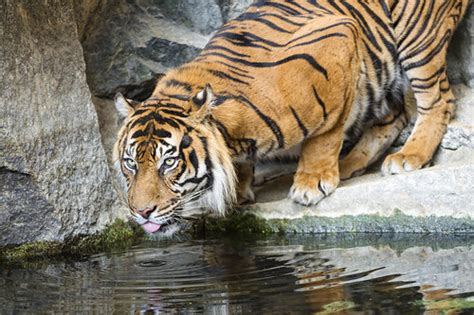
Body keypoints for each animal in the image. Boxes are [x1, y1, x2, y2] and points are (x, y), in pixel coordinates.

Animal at [113, 0, 468, 236]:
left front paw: (311, 184)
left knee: (439, 101)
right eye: (130, 163)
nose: (142, 212)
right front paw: (241, 190)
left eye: (169, 162)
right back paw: (350, 163)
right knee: (394, 115)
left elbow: (325, 134)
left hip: (418, 40)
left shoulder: (339, 38)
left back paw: (409, 156)